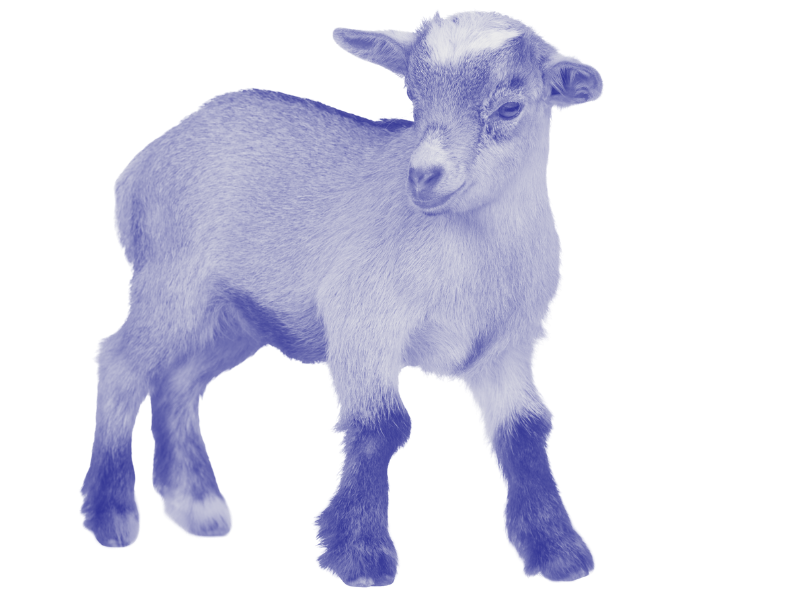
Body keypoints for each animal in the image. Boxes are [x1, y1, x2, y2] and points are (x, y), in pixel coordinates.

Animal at [82, 8, 604, 587]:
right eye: (412, 98)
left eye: (510, 107)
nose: (423, 177)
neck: (470, 250)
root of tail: (145, 161)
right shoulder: (363, 318)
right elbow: (380, 426)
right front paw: (358, 554)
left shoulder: (506, 350)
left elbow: (526, 432)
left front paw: (558, 551)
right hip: (173, 283)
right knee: (122, 361)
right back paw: (111, 514)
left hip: (233, 315)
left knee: (178, 382)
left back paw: (197, 507)